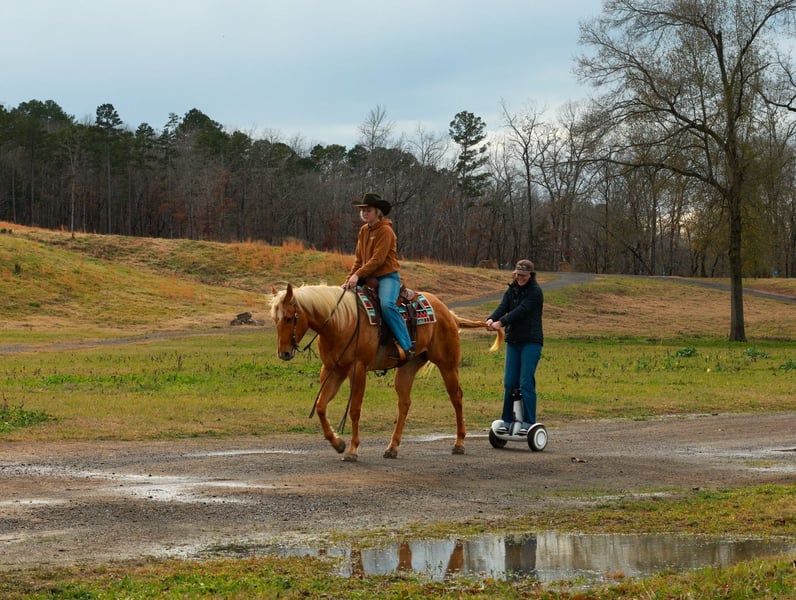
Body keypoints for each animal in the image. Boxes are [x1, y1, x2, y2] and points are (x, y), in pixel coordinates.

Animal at [270, 283, 500, 461]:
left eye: (289, 318)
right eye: (275, 319)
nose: (284, 353)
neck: (341, 322)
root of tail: (448, 314)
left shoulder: (358, 369)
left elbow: (354, 410)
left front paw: (352, 450)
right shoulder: (333, 370)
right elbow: (320, 406)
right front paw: (338, 443)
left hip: (448, 365)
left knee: (456, 398)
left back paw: (459, 443)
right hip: (407, 368)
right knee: (404, 403)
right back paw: (392, 447)